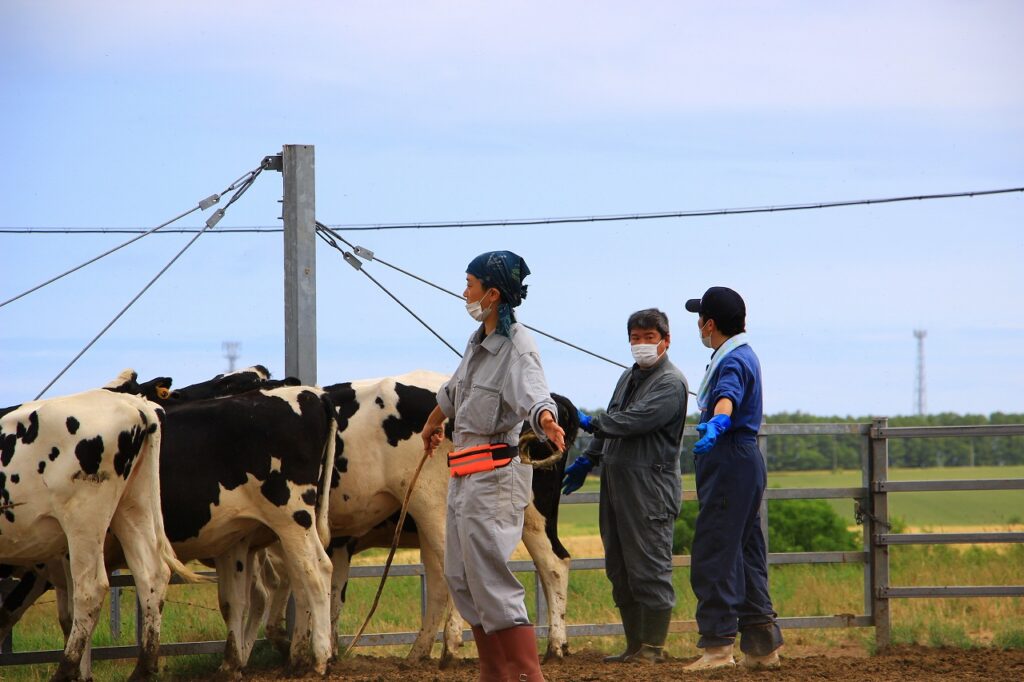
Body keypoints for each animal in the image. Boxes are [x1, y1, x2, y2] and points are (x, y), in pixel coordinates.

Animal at [0, 376, 201, 679]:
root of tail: (136, 405)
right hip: (133, 507)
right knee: (151, 575)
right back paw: (142, 670)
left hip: (83, 520)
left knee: (90, 589)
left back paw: (65, 671)